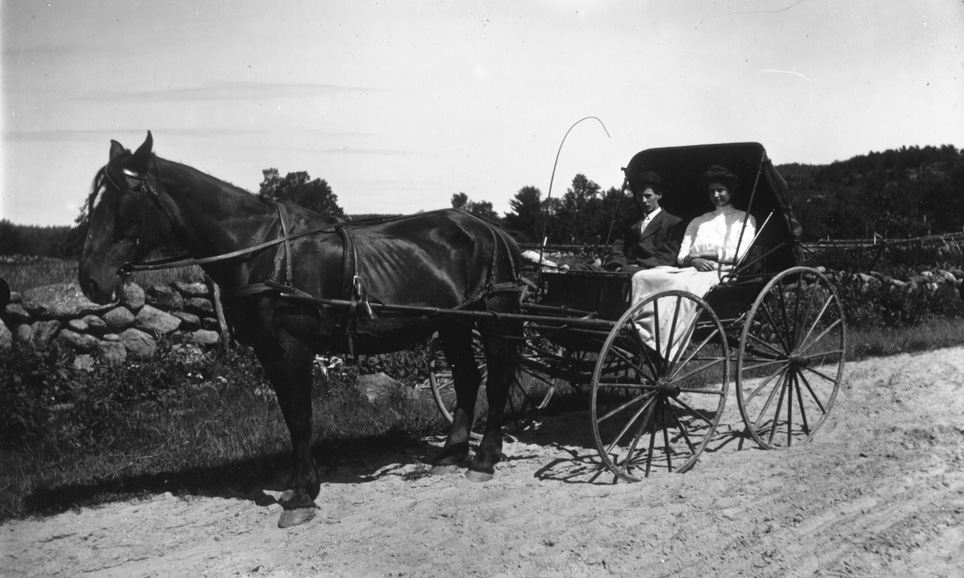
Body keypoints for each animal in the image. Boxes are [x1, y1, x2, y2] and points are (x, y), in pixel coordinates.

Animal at [79, 132, 524, 528]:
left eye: (122, 201)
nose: (90, 280)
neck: (264, 250)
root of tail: (491, 229)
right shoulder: (268, 349)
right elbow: (290, 416)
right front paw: (297, 487)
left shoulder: (293, 346)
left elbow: (300, 416)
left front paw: (304, 496)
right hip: (452, 323)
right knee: (467, 378)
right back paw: (450, 455)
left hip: (493, 320)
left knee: (497, 378)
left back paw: (484, 459)